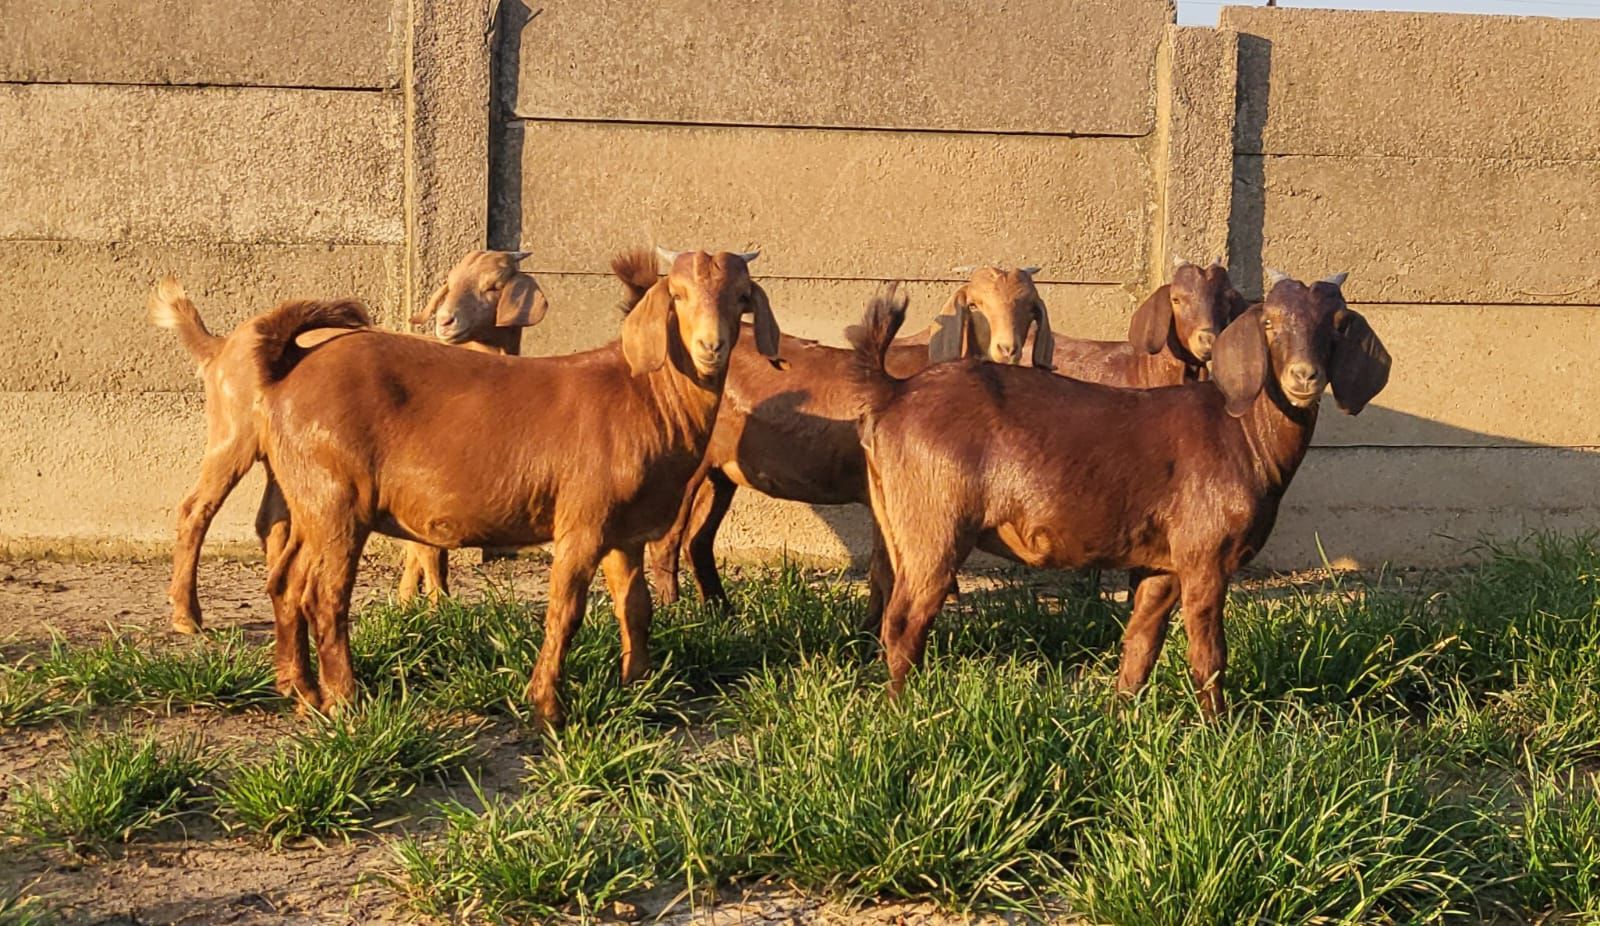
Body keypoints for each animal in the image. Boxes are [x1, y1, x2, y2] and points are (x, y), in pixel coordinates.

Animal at [150, 250, 548, 634]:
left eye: (494, 285)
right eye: (449, 283)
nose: (446, 321)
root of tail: (220, 347)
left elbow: (420, 549)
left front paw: (410, 605)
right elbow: (428, 550)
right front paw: (439, 611)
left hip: (288, 460)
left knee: (272, 521)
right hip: (234, 435)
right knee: (196, 509)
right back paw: (186, 616)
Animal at [254, 248, 779, 725]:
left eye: (741, 297)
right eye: (678, 294)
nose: (711, 347)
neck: (644, 394)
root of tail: (288, 372)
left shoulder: (624, 532)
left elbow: (635, 607)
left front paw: (639, 689)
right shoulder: (583, 519)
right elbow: (565, 611)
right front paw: (548, 707)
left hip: (307, 499)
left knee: (286, 581)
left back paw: (302, 693)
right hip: (336, 499)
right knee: (325, 596)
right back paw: (345, 702)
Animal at [645, 266, 1052, 623]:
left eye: (1030, 308)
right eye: (975, 305)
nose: (1007, 349)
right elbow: (885, 570)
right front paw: (870, 631)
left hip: (721, 470)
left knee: (697, 540)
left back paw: (721, 611)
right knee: (668, 539)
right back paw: (674, 611)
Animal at [850, 272, 1390, 715]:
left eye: (1338, 325)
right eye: (1272, 324)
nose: (1304, 376)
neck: (1242, 431)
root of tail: (893, 393)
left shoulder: (1162, 566)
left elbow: (1141, 643)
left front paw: (1121, 717)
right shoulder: (1205, 556)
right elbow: (1208, 653)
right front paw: (1220, 730)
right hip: (933, 526)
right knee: (904, 623)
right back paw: (903, 715)